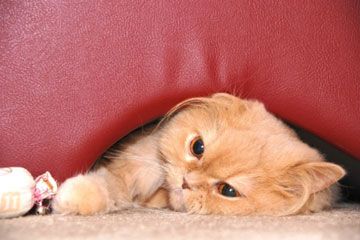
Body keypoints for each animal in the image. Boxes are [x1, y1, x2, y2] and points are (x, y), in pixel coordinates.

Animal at [53, 93, 346, 216]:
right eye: (198, 148)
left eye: (228, 191)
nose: (186, 182)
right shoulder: (128, 169)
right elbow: (109, 185)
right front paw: (68, 199)